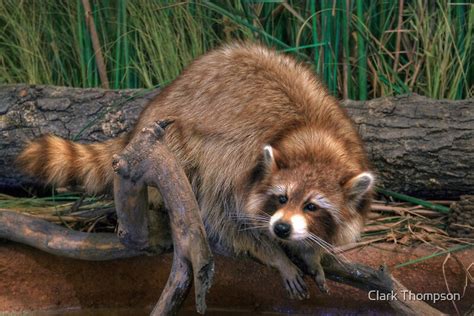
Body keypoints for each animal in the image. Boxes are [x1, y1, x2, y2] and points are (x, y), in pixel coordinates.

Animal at [16, 42, 374, 298]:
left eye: (312, 206)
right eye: (281, 198)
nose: (282, 229)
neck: (311, 137)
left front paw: (310, 252)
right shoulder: (235, 158)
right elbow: (226, 218)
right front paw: (276, 256)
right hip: (170, 136)